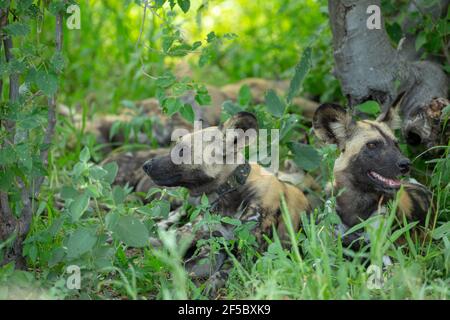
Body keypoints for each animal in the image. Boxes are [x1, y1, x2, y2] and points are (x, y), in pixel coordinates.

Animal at [141, 112, 310, 296]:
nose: (145, 165)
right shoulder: (211, 248)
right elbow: (179, 271)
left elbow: (219, 274)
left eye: (182, 151)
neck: (228, 196)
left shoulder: (245, 256)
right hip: (186, 225)